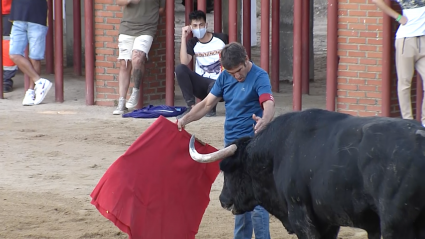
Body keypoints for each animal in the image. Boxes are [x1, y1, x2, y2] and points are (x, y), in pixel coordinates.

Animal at [189, 109, 424, 239]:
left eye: (230, 169)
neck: (276, 154)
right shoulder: (329, 222)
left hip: (395, 224)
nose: (223, 200)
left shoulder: (301, 215)